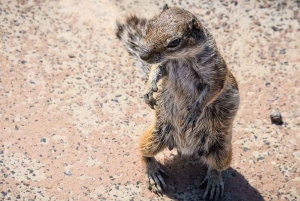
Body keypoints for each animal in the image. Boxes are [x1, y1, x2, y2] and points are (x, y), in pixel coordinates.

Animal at [116, 4, 240, 201]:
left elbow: (211, 92)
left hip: (221, 150)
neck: (180, 59)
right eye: (149, 26)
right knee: (144, 152)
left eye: (174, 42)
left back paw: (214, 181)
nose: (143, 55)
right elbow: (155, 70)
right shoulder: (164, 65)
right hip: (155, 136)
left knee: (216, 166)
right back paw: (153, 174)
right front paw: (148, 90)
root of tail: (187, 149)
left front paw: (194, 112)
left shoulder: (216, 72)